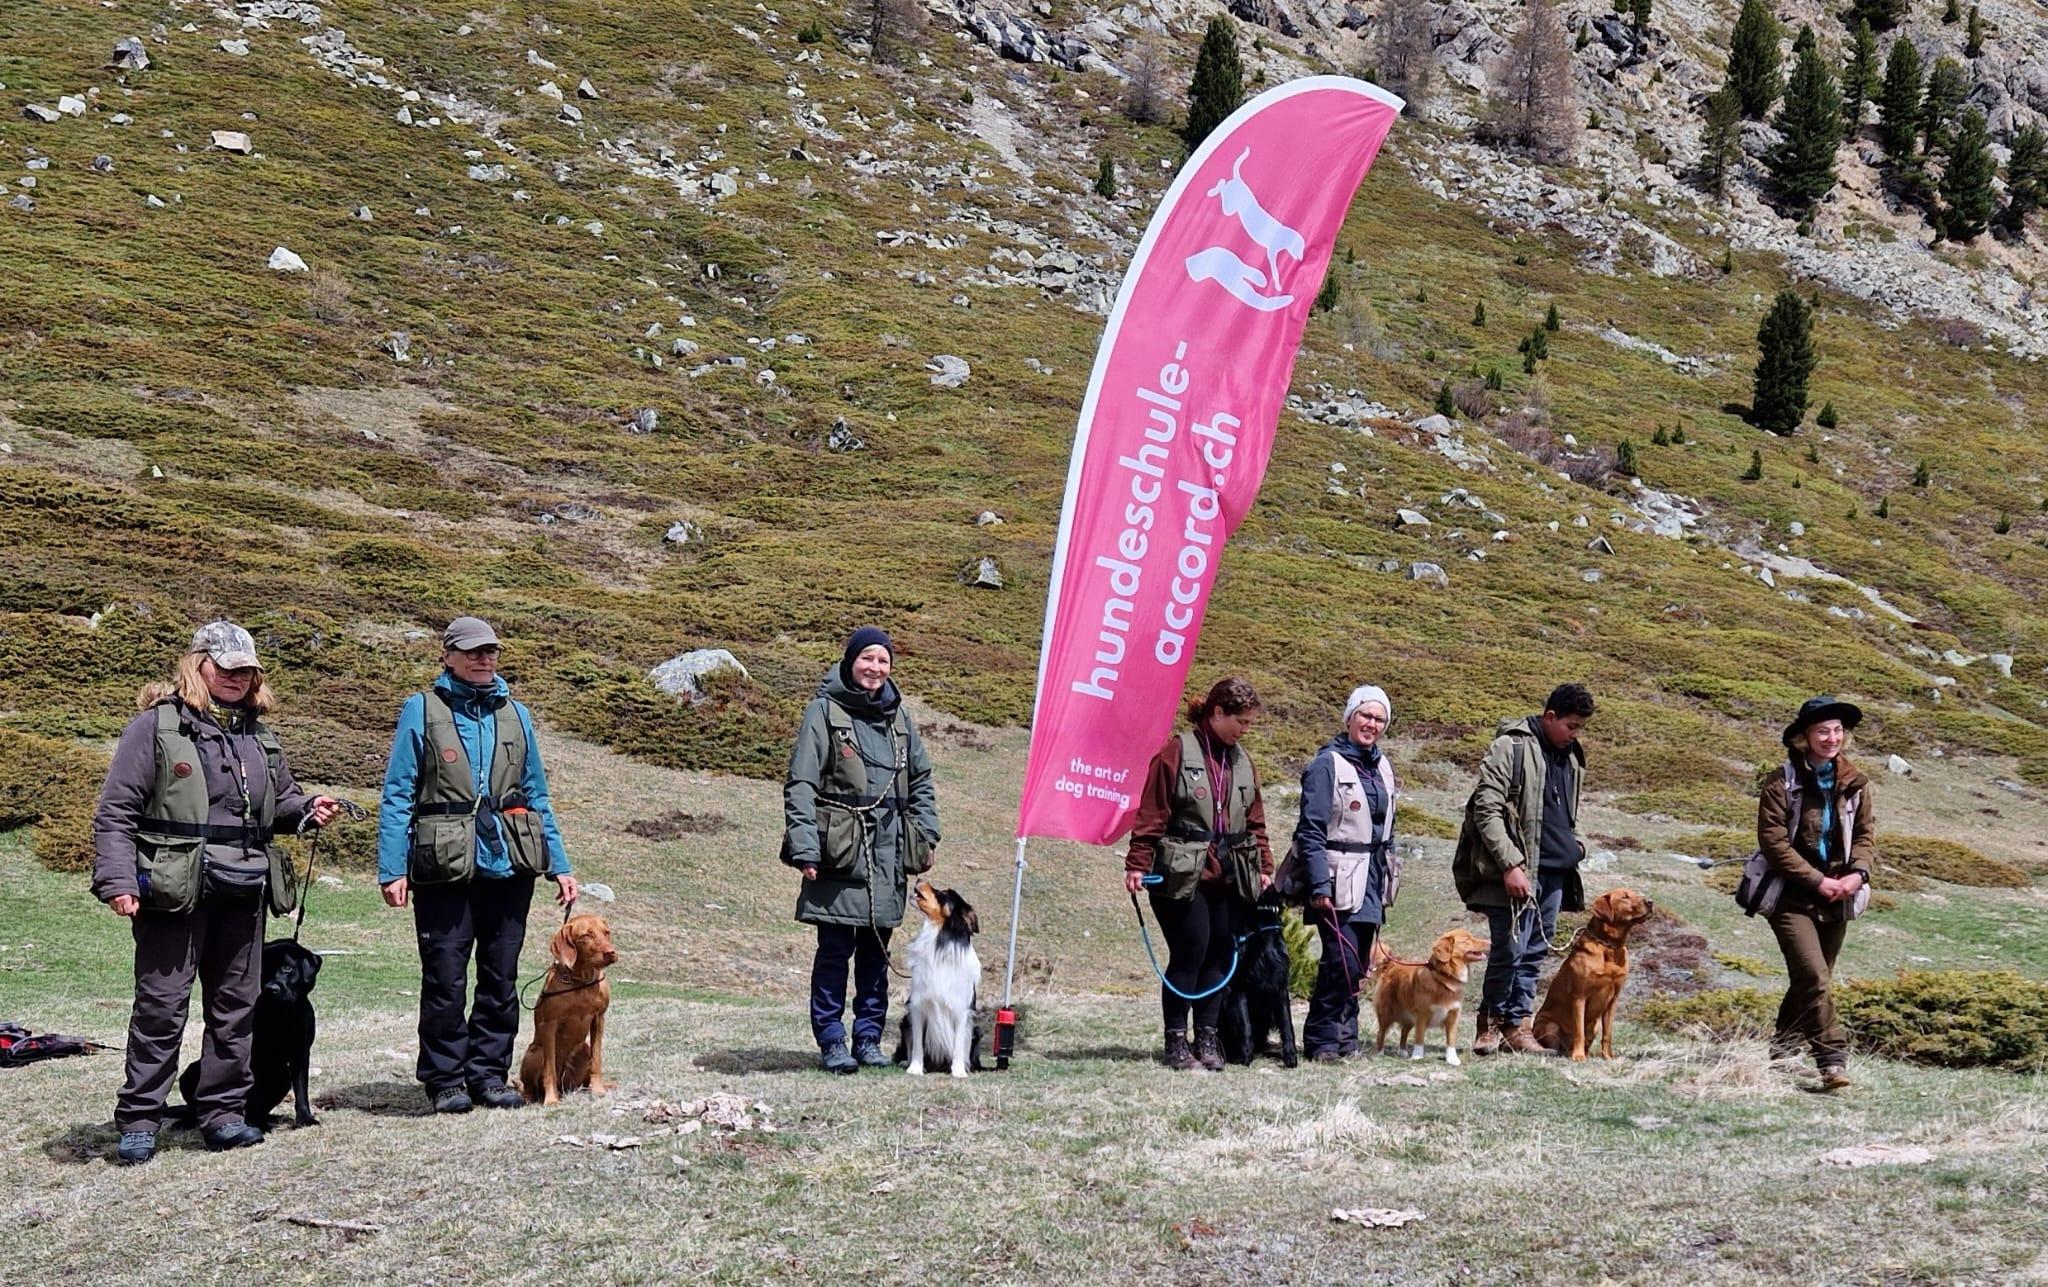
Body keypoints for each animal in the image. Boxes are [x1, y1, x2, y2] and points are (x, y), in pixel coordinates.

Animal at [180, 934, 321, 1123]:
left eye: (287, 968)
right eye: (263, 968)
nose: (271, 988)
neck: (282, 1014)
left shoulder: (301, 1053)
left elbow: (301, 1088)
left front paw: (305, 1118)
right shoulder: (255, 1055)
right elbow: (253, 1090)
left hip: (283, 1077)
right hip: (191, 1072)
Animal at [520, 914, 614, 1106]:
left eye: (606, 932)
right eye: (586, 935)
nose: (611, 952)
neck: (581, 981)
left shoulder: (599, 1019)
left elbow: (597, 1061)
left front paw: (598, 1090)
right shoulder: (549, 1024)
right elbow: (549, 1070)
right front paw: (551, 1099)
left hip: (583, 1050)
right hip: (534, 1053)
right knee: (530, 1086)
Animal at [1212, 893, 1294, 1065]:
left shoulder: (1280, 987)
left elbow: (1287, 1023)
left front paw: (1291, 1055)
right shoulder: (1240, 988)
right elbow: (1245, 1025)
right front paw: (1245, 1056)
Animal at [1376, 926, 1490, 1065]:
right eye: (1467, 939)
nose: (1491, 942)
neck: (1444, 977)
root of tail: (1392, 965)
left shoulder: (1453, 1015)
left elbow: (1451, 1039)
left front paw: (1452, 1059)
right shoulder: (1422, 1014)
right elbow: (1419, 1037)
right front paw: (1418, 1056)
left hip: (1409, 1016)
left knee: (1404, 1031)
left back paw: (1402, 1051)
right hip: (1387, 1012)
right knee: (1381, 1032)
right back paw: (1380, 1052)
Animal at [1540, 889, 1646, 1057]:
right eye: (1625, 897)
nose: (1650, 902)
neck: (1609, 947)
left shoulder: (1613, 1000)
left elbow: (1608, 1034)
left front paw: (1608, 1057)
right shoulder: (1579, 997)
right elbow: (1579, 1032)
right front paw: (1578, 1057)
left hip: (1595, 1025)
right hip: (1550, 1025)